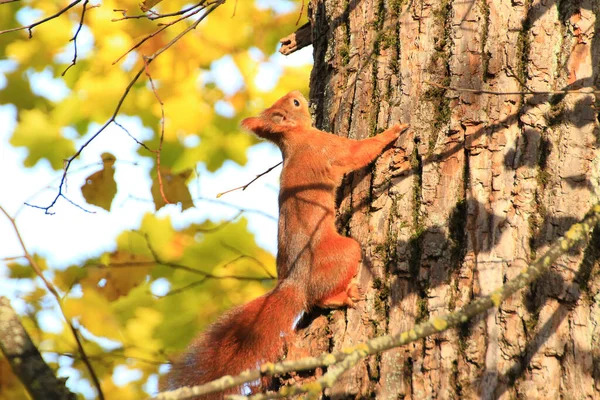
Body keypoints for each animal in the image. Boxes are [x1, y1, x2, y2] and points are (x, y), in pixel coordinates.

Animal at [164, 92, 408, 398]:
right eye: (294, 105)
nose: (298, 94)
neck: (294, 139)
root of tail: (294, 283)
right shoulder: (328, 147)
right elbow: (359, 152)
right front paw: (393, 131)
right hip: (344, 252)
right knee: (321, 297)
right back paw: (344, 296)